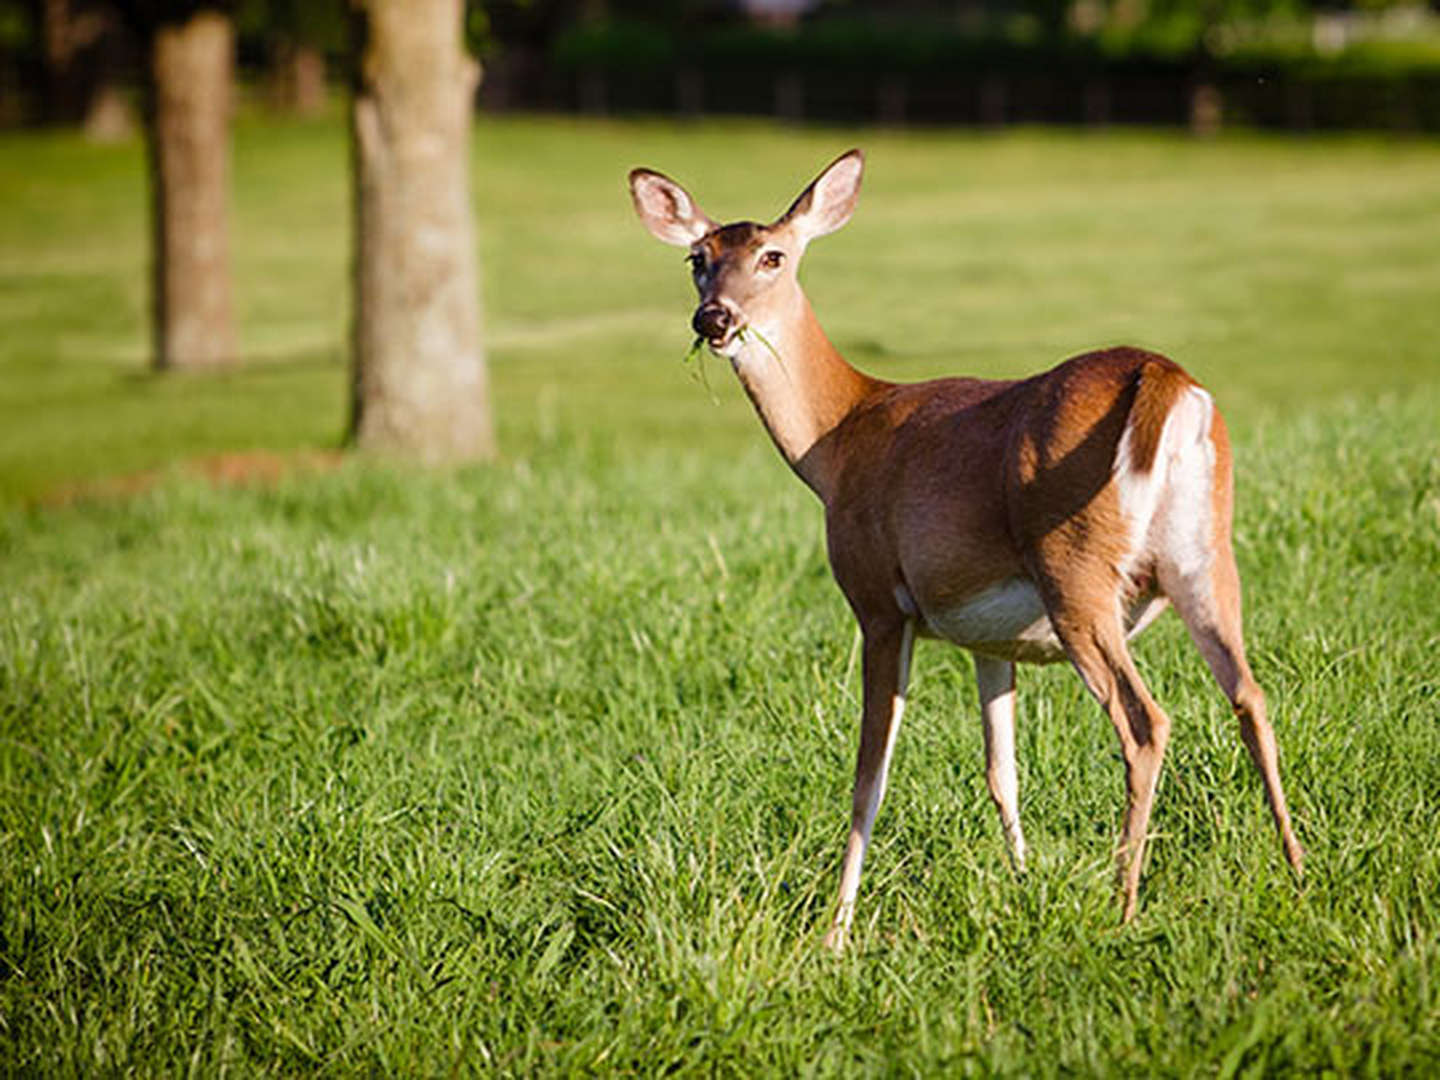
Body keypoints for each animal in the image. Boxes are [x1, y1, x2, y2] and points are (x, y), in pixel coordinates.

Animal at [627, 148, 1307, 950]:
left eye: (773, 256)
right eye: (697, 259)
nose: (715, 318)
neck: (839, 442)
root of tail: (1165, 381)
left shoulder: (878, 602)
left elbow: (868, 778)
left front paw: (836, 930)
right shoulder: (990, 638)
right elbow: (1001, 771)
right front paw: (1022, 880)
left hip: (1076, 568)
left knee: (1147, 722)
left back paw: (1123, 905)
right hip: (1205, 553)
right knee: (1251, 697)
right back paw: (1298, 871)